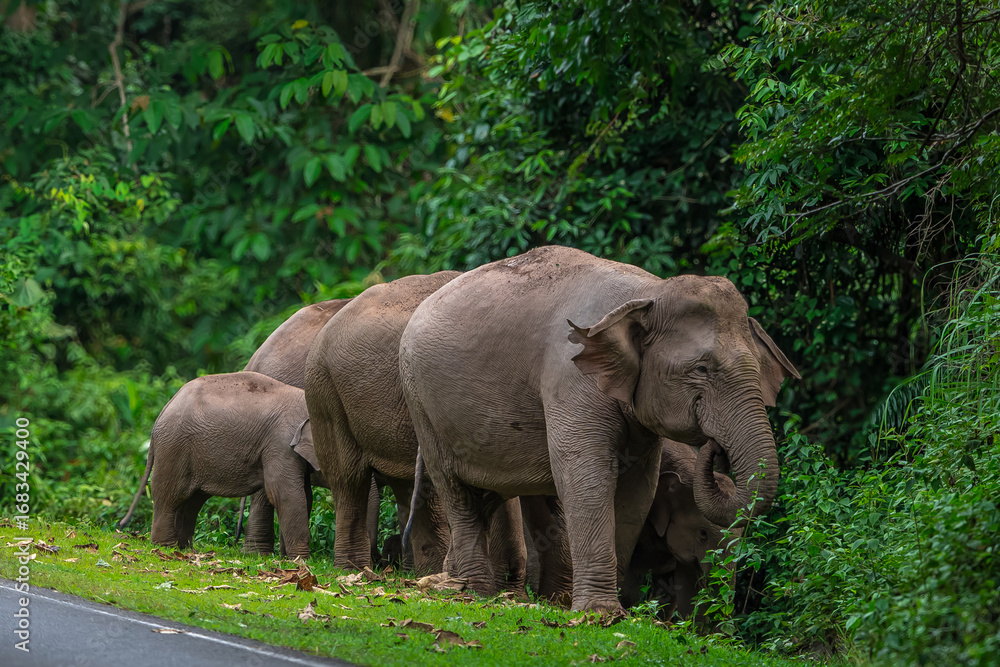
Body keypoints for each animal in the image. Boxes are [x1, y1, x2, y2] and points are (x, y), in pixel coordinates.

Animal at [118, 372, 319, 559]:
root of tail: (165, 408)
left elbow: (305, 494)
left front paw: (288, 558)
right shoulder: (281, 444)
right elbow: (284, 493)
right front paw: (300, 560)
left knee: (193, 500)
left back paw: (184, 548)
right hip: (174, 446)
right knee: (170, 495)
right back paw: (166, 547)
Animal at [399, 245, 799, 611]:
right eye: (701, 369)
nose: (715, 448)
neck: (649, 293)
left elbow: (638, 487)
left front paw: (612, 610)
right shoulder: (570, 376)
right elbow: (585, 472)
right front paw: (598, 612)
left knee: (492, 493)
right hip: (421, 405)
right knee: (456, 491)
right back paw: (472, 592)